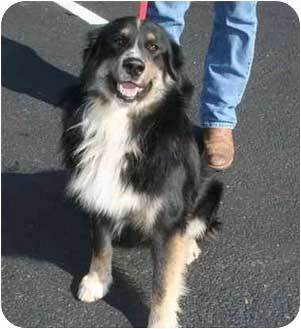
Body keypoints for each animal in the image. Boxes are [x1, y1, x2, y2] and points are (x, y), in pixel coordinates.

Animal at [62, 16, 223, 326]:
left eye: (154, 48)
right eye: (118, 41)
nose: (134, 66)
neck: (122, 120)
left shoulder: (168, 220)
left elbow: (163, 282)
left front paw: (160, 322)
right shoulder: (99, 190)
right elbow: (101, 244)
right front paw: (97, 281)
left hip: (212, 187)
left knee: (196, 224)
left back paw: (190, 247)